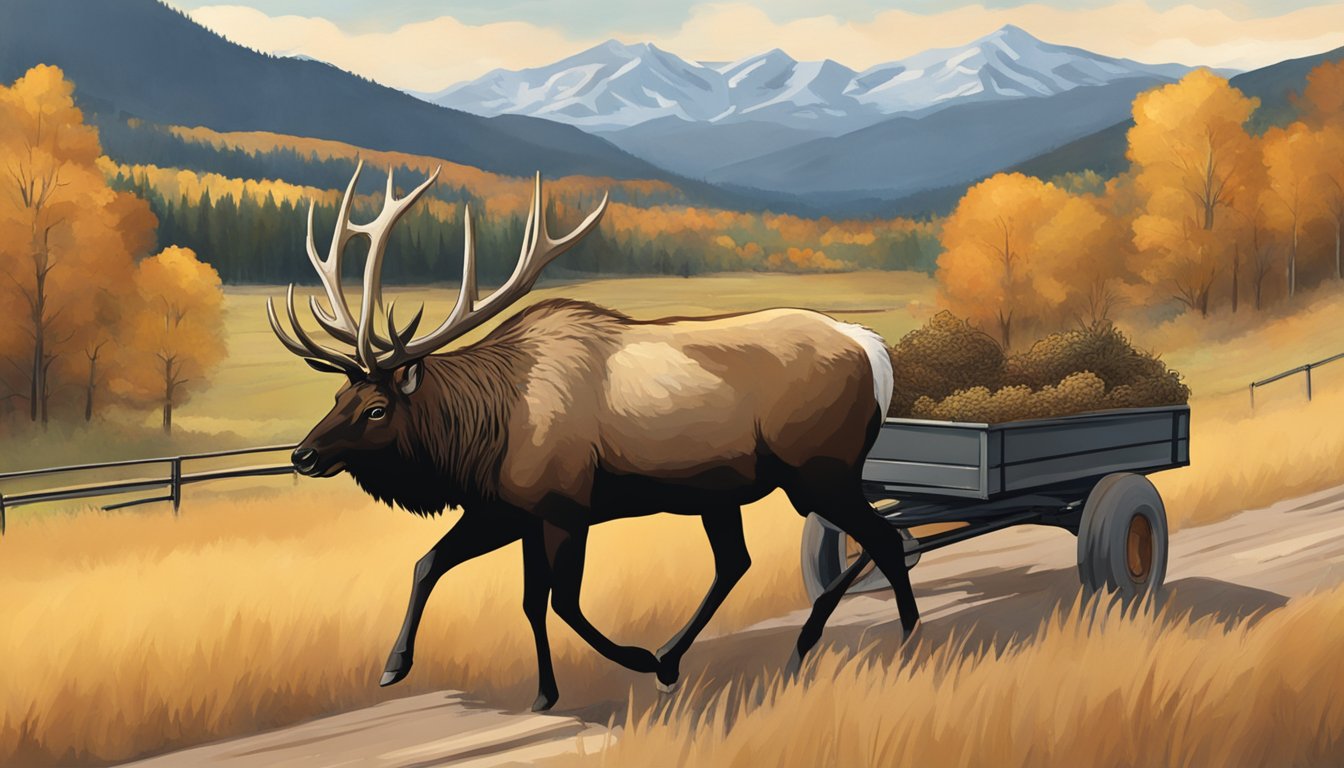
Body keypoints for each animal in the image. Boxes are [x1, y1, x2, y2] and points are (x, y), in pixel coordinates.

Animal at [270, 164, 924, 715]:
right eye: (338, 396)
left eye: (377, 408)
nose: (303, 455)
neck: (481, 433)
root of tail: (872, 349)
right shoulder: (509, 510)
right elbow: (447, 570)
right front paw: (411, 670)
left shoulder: (564, 507)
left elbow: (561, 601)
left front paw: (634, 659)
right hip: (730, 491)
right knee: (740, 561)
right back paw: (710, 655)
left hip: (818, 470)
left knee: (886, 538)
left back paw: (899, 642)